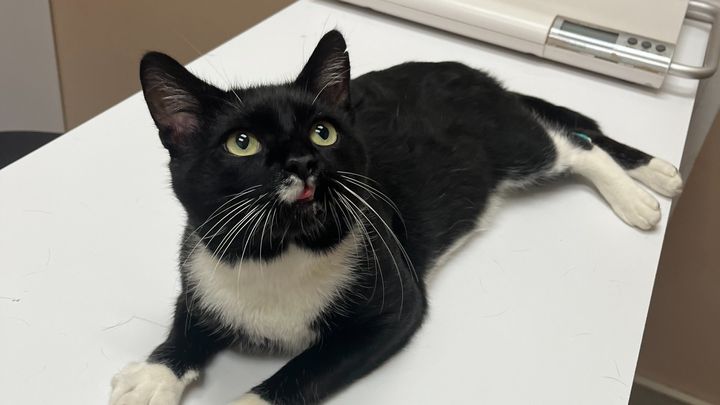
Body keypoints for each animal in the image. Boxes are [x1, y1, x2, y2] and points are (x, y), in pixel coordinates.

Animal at [109, 30, 683, 405]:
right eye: (241, 143)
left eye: (323, 132)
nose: (303, 161)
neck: (280, 253)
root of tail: (470, 71)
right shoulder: (202, 261)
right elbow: (188, 320)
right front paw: (153, 376)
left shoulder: (394, 307)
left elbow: (304, 370)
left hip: (511, 142)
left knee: (575, 143)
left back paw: (639, 195)